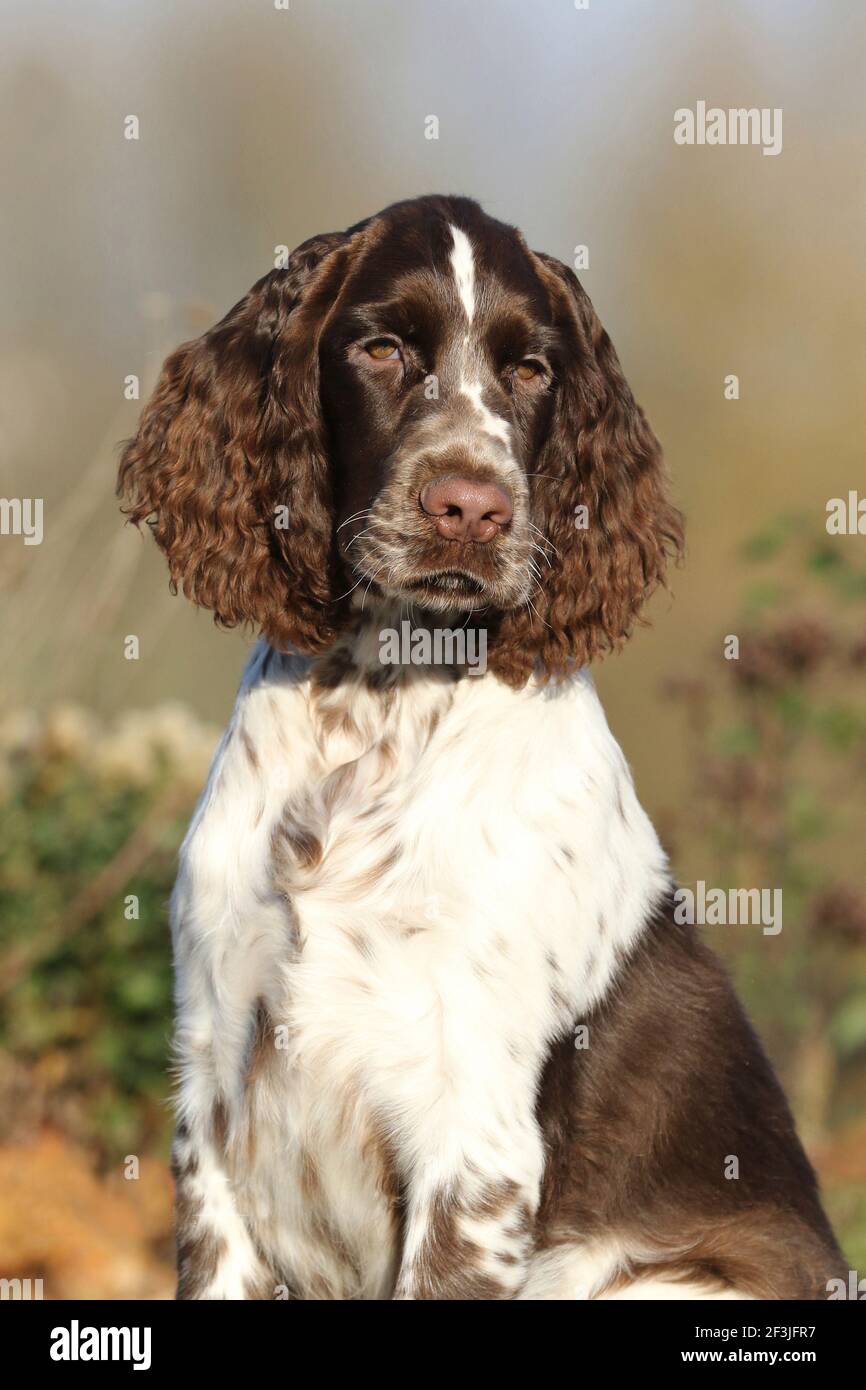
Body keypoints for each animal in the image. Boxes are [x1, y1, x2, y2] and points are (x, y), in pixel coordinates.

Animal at [118, 190, 845, 1295]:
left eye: (532, 369)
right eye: (380, 348)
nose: (470, 506)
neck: (374, 711)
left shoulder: (474, 1139)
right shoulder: (216, 1096)